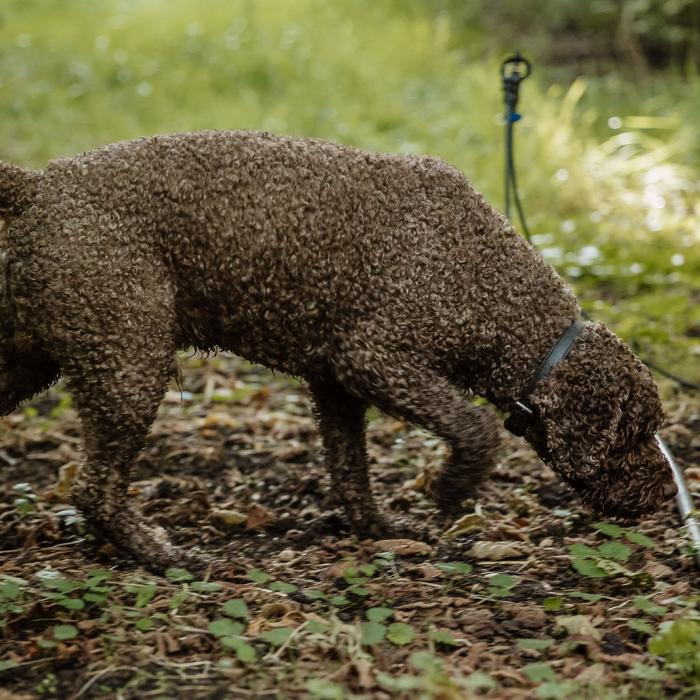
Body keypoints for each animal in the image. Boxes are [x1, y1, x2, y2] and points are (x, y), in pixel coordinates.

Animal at [0, 133, 680, 576]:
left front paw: (379, 530)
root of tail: (38, 186)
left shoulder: (335, 385)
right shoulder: (374, 356)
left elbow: (352, 472)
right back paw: (161, 553)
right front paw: (449, 491)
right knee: (94, 490)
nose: (667, 496)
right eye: (638, 432)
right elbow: (476, 427)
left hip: (35, 359)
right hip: (129, 363)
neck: (491, 286)